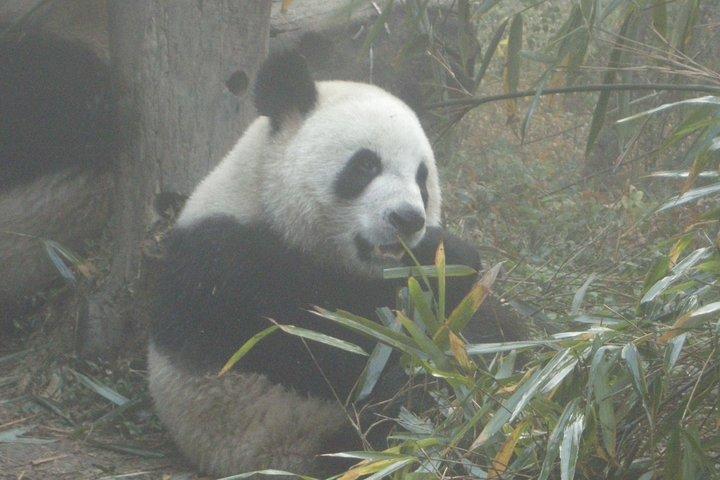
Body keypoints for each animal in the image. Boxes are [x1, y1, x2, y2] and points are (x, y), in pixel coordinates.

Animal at [148, 50, 521, 477]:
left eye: (422, 178)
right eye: (365, 165)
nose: (407, 219)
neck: (261, 200)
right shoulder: (230, 266)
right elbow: (330, 344)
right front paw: (449, 257)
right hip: (298, 433)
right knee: (403, 409)